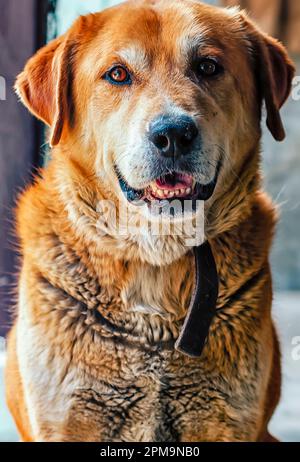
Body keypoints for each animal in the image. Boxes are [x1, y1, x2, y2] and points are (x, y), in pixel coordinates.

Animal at [5, 0, 296, 440]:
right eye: (117, 74)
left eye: (207, 67)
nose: (173, 134)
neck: (155, 258)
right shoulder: (67, 418)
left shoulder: (228, 419)